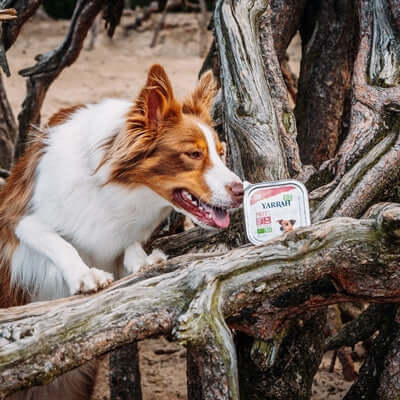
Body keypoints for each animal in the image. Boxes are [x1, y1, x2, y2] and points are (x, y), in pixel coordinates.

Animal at [1, 64, 242, 398]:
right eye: (194, 154)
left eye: (221, 152)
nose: (241, 190)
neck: (113, 187)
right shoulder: (18, 220)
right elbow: (57, 242)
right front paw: (84, 275)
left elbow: (130, 244)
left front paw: (143, 261)